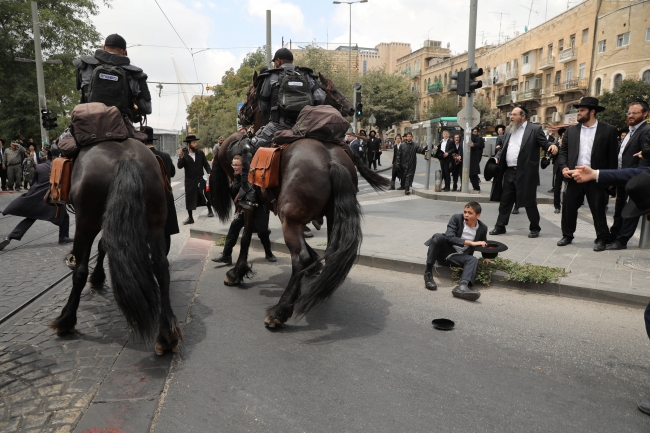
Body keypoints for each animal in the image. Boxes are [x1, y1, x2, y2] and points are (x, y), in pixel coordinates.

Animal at [48, 138, 181, 354]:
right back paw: (167, 334)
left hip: (86, 222)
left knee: (80, 270)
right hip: (155, 223)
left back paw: (66, 319)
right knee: (161, 267)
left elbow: (91, 258)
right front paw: (98, 276)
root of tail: (126, 159)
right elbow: (105, 245)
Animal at [210, 72, 388, 326]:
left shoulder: (255, 205)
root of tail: (331, 160)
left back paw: (280, 310)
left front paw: (237, 272)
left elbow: (245, 237)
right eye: (333, 89)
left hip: (289, 219)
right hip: (330, 216)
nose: (241, 113)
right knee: (331, 251)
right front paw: (315, 266)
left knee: (299, 257)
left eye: (250, 92)